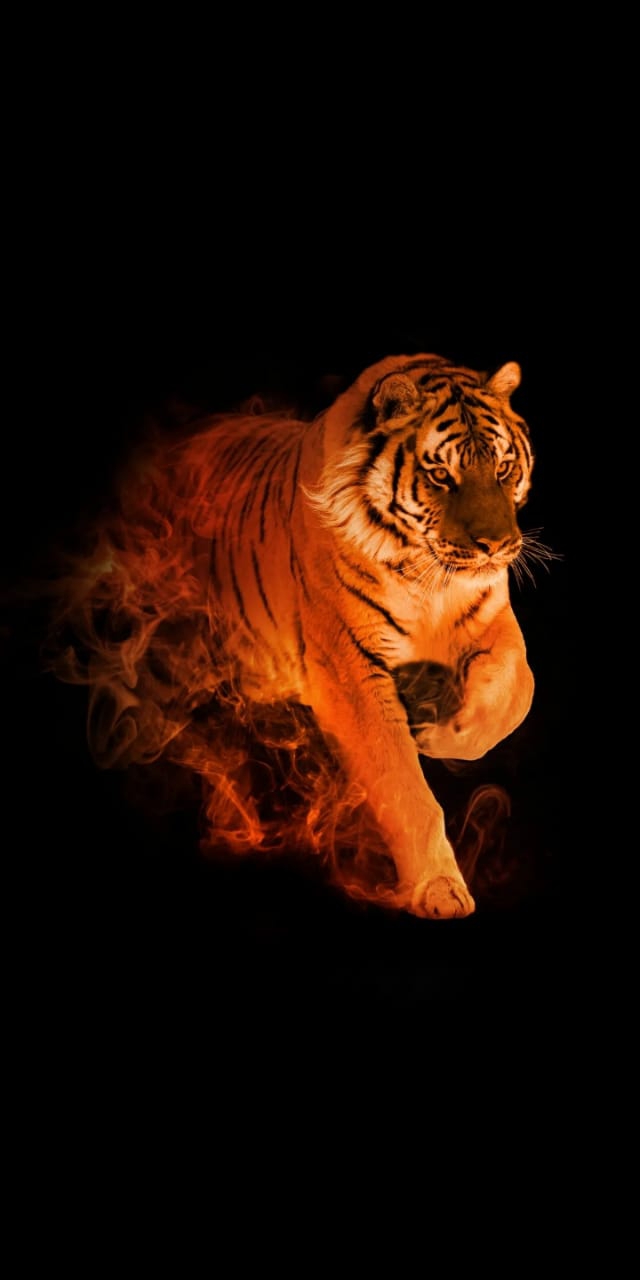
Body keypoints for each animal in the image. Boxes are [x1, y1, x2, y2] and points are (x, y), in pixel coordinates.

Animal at [54, 352, 539, 920]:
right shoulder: (348, 669)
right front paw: (439, 888)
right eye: (440, 475)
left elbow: (517, 691)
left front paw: (441, 729)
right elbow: (403, 786)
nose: (496, 545)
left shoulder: (495, 619)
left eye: (502, 467)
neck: (430, 581)